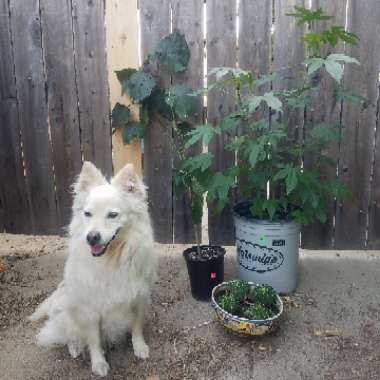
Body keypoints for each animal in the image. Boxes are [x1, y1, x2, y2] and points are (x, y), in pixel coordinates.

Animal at [29, 161, 157, 378]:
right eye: (87, 214)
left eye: (112, 215)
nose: (92, 237)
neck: (111, 260)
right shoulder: (89, 309)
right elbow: (94, 340)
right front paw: (98, 363)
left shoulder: (138, 296)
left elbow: (137, 327)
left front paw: (139, 347)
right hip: (67, 310)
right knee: (68, 333)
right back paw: (74, 347)